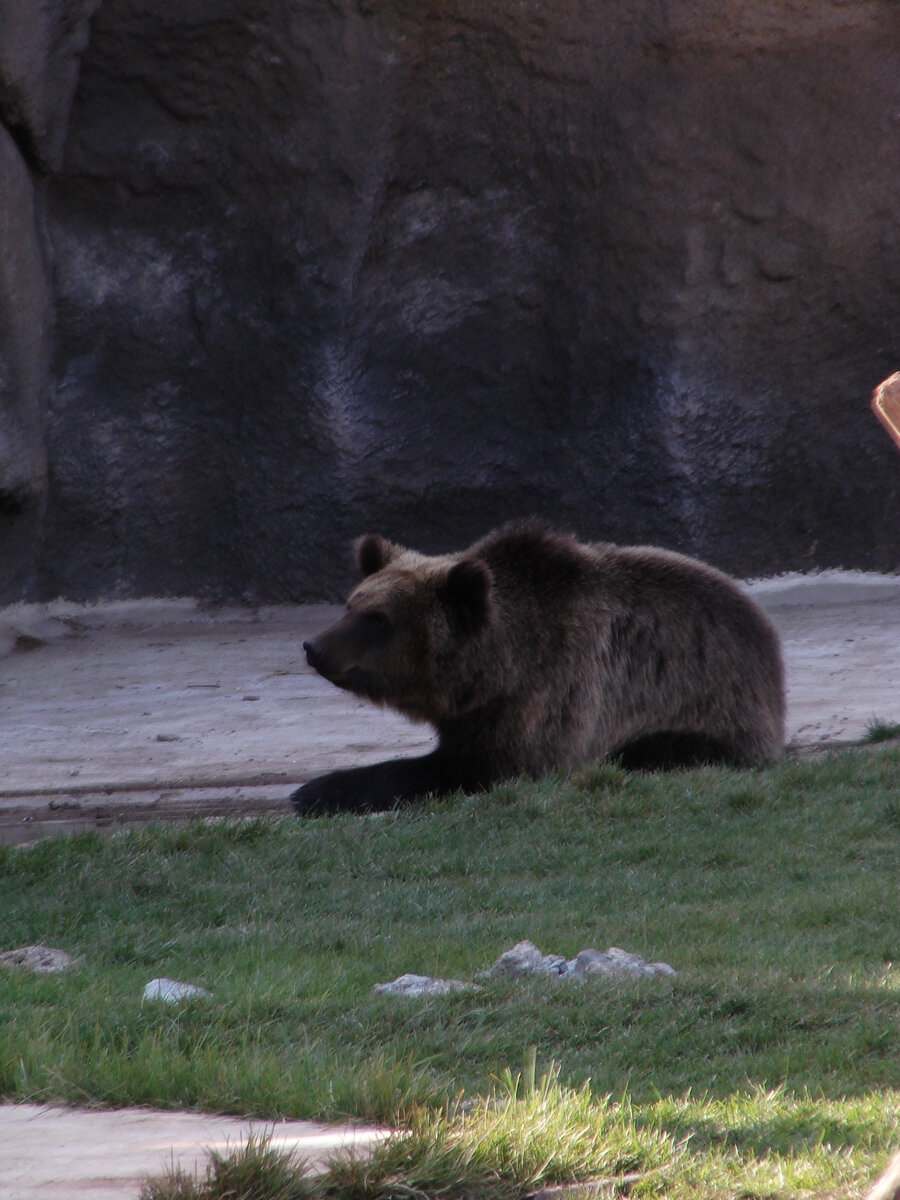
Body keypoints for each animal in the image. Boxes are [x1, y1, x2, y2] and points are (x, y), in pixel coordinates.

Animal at [292, 518, 787, 811]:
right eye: (352, 604)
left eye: (378, 619)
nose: (314, 646)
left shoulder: (555, 690)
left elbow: (484, 768)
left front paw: (317, 789)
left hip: (705, 710)